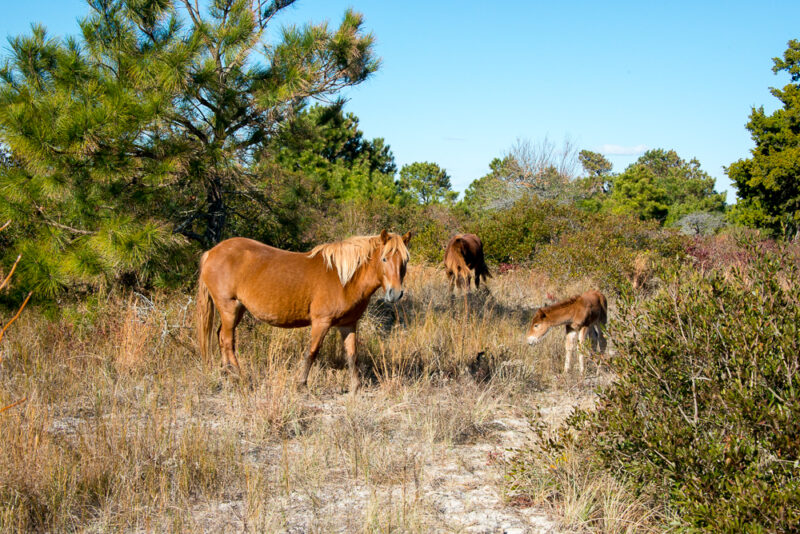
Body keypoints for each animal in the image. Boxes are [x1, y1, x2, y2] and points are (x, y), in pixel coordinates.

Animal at [196, 230, 411, 393]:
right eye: (384, 259)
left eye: (405, 261)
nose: (395, 293)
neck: (344, 279)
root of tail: (212, 252)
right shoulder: (321, 322)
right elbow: (312, 352)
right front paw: (301, 384)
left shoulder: (348, 324)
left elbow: (352, 355)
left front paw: (356, 387)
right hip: (229, 307)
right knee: (227, 340)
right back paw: (240, 377)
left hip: (237, 309)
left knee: (221, 337)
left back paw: (227, 373)